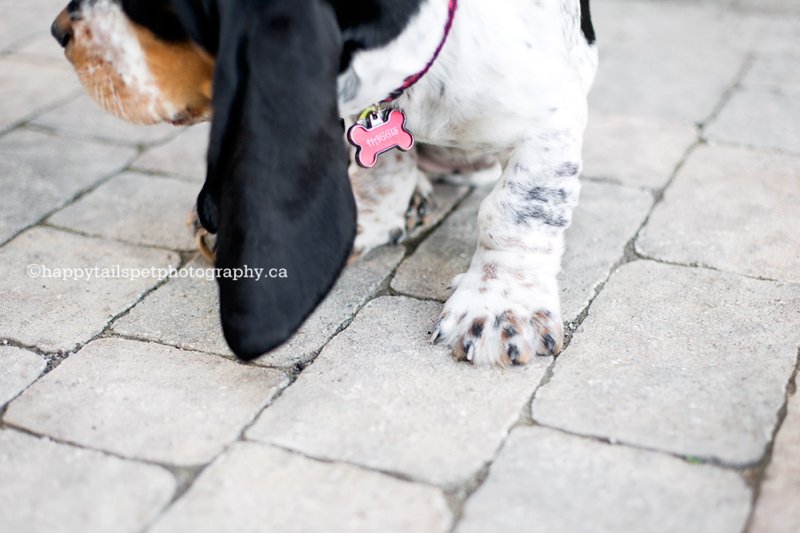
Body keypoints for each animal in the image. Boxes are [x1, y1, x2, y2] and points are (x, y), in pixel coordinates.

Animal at [50, 0, 596, 366]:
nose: (59, 30)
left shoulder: (553, 116)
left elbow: (518, 210)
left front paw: (503, 307)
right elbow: (387, 162)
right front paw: (370, 219)